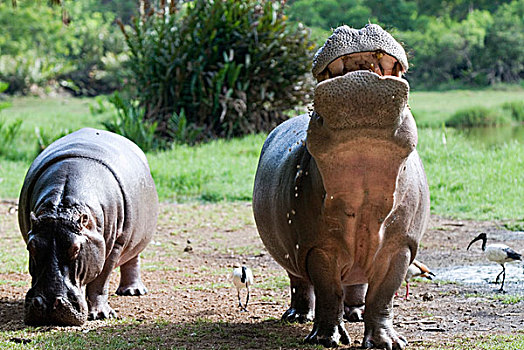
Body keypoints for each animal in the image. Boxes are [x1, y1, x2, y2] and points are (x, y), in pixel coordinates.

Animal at [18, 128, 158, 326]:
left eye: (76, 248)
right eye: (31, 247)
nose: (47, 305)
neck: (63, 207)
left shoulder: (114, 245)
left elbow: (100, 281)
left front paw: (101, 315)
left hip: (135, 238)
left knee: (133, 259)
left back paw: (133, 292)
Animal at [253, 23, 430, 348]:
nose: (359, 27)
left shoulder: (400, 247)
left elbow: (383, 296)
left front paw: (387, 342)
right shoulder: (317, 248)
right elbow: (328, 291)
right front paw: (326, 339)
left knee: (357, 286)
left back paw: (356, 315)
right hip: (291, 256)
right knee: (300, 283)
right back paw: (297, 317)